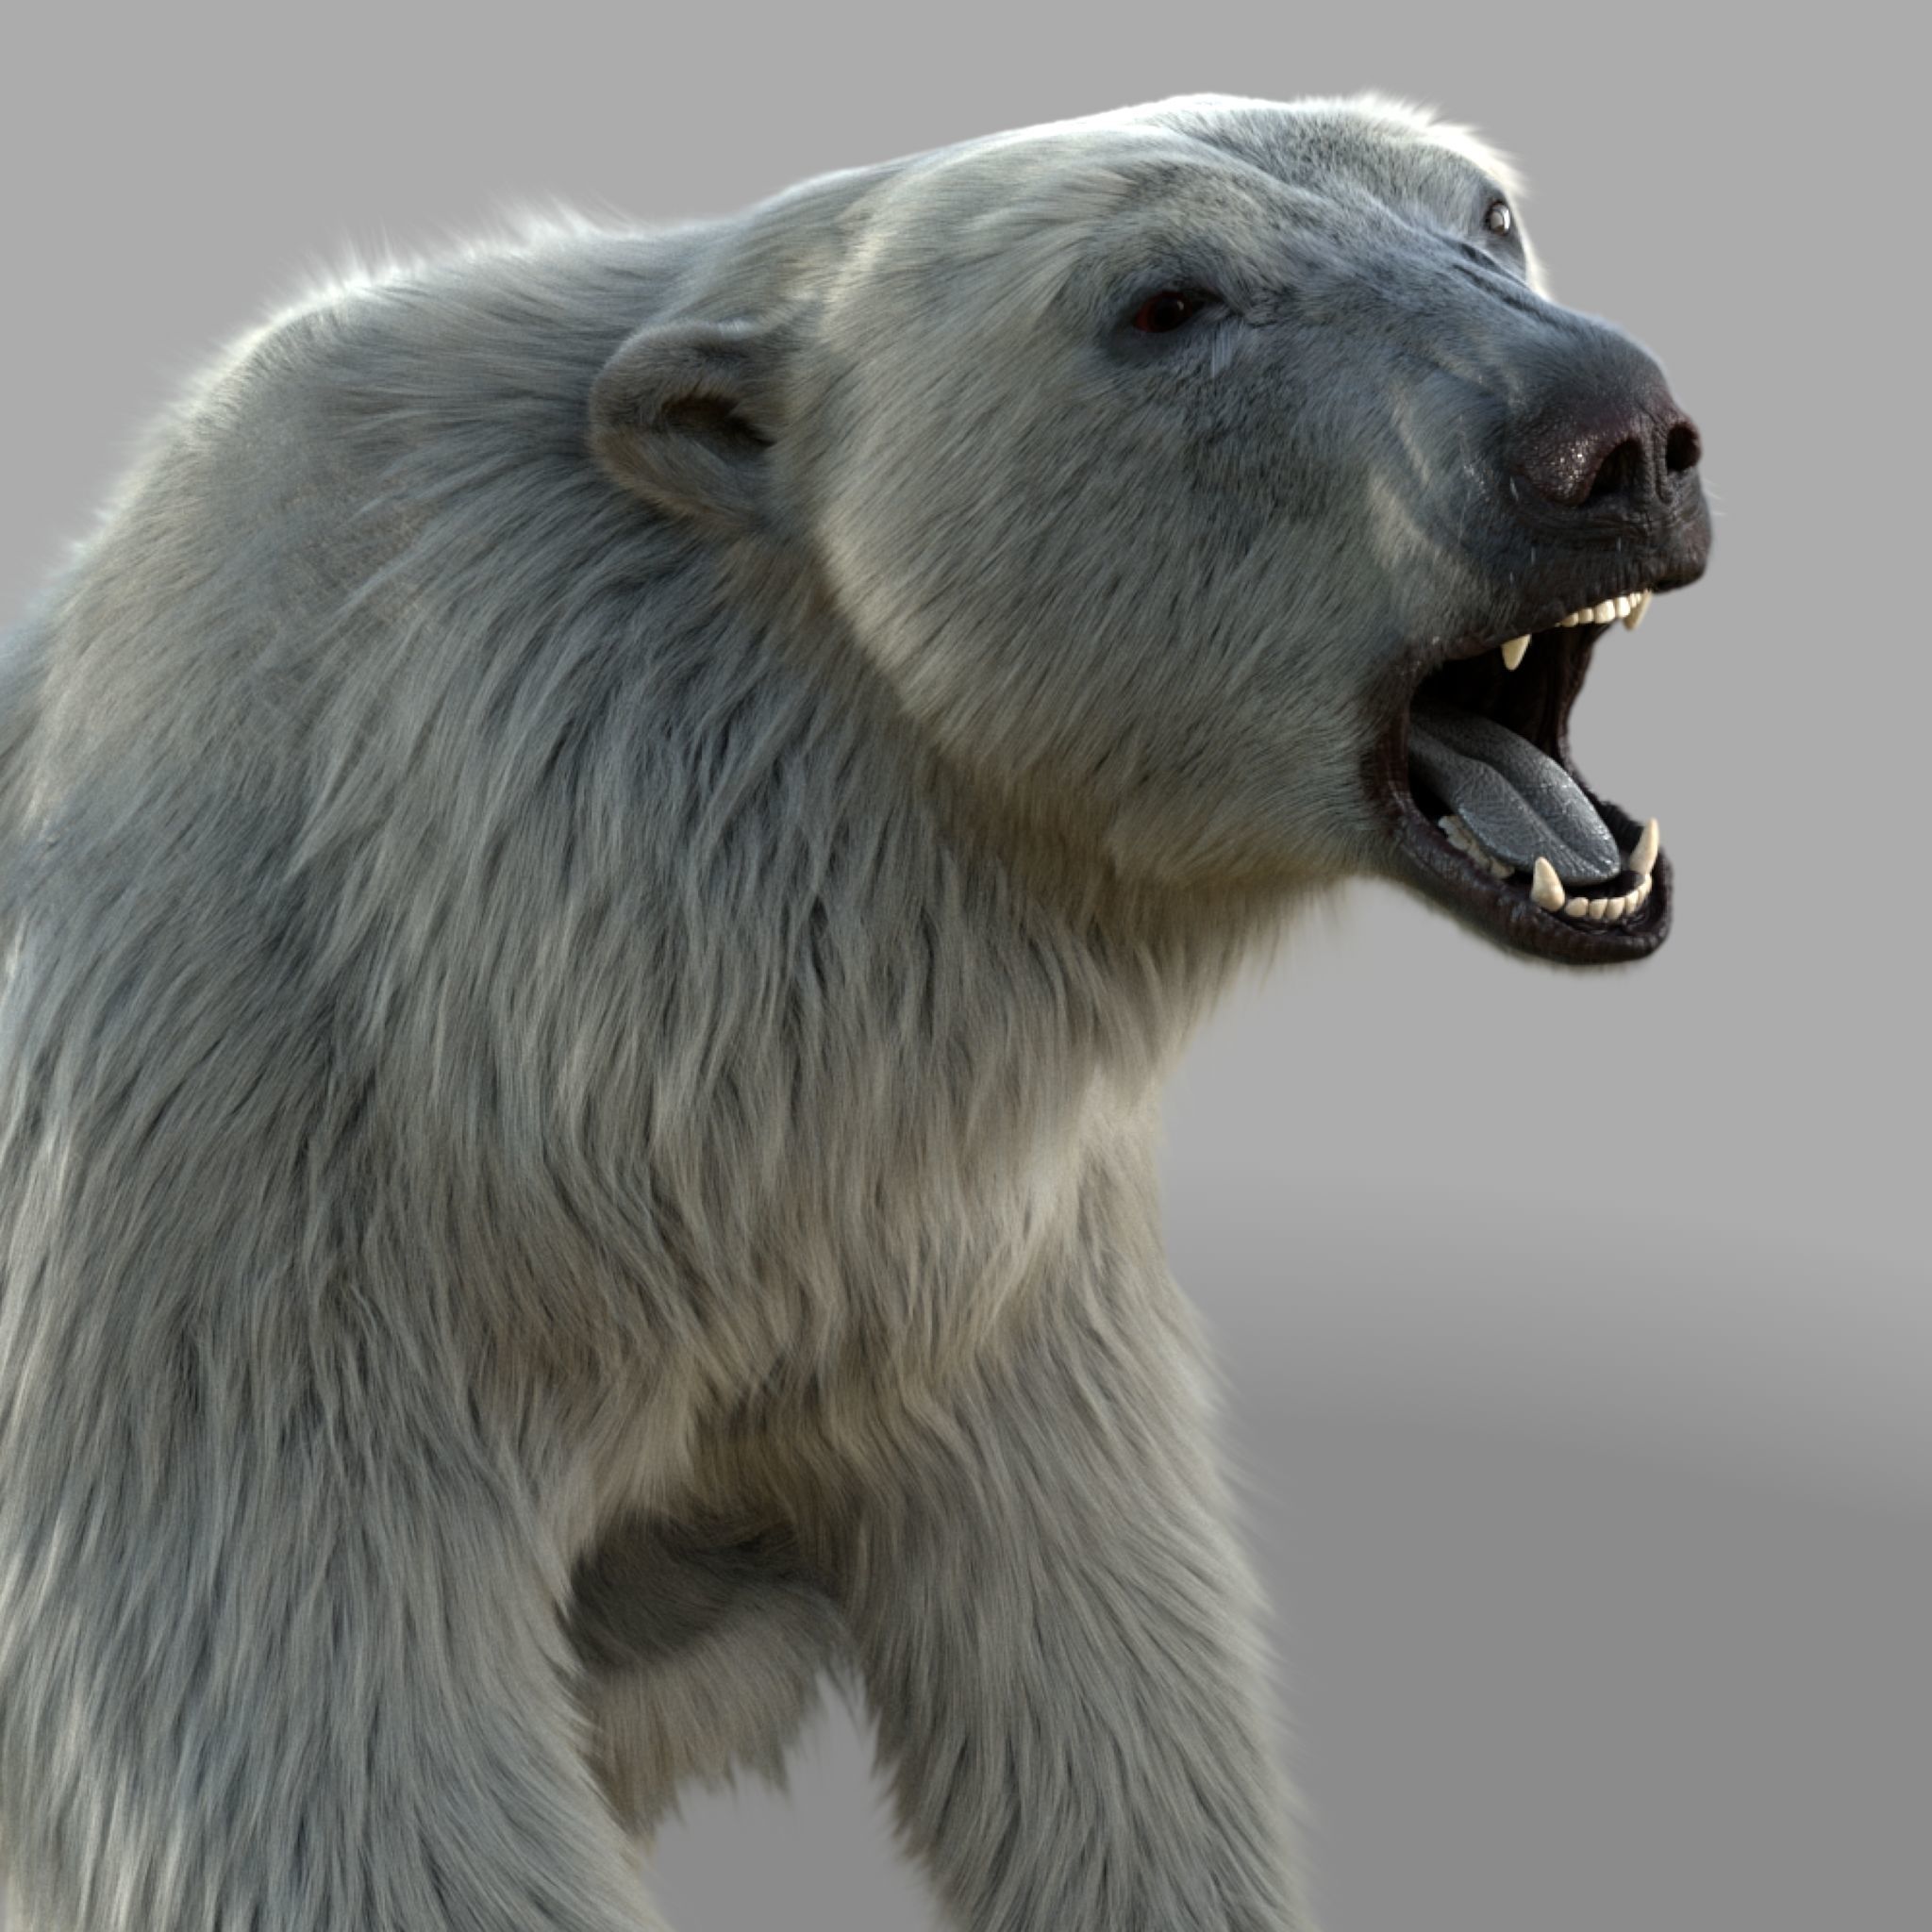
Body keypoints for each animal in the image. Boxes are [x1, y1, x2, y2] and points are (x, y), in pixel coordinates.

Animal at [0, 92, 1708, 1932]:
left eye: (1487, 212)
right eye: (1165, 302)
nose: (1608, 440)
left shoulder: (963, 1241)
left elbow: (1100, 1651)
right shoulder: (250, 1178)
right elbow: (310, 1726)